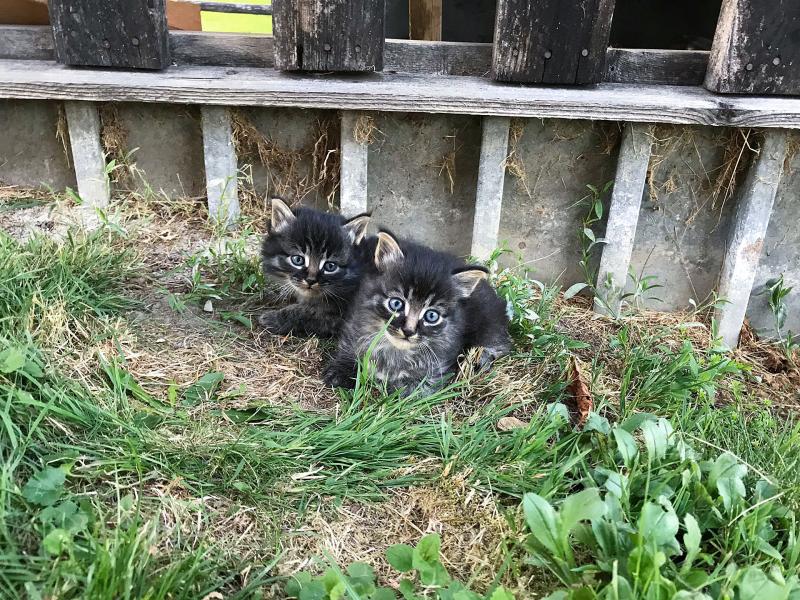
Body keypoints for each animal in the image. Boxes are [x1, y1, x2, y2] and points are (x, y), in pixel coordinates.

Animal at [260, 197, 374, 338]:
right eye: (298, 260)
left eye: (330, 266)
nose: (310, 280)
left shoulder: (341, 316)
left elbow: (304, 312)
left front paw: (273, 318)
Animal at [322, 230, 510, 394]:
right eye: (396, 304)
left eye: (431, 316)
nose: (408, 331)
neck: (394, 350)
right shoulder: (354, 322)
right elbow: (350, 347)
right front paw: (342, 370)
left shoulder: (438, 364)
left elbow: (416, 389)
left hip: (488, 316)